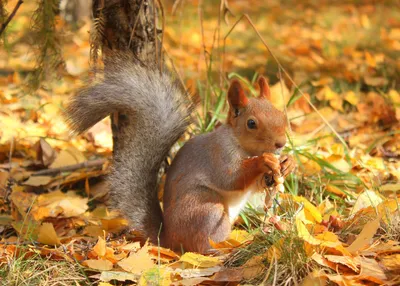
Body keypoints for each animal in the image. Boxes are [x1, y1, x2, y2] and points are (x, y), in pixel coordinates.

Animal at [65, 57, 296, 254]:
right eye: (251, 123)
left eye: (281, 115)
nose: (281, 143)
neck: (243, 147)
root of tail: (169, 240)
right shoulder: (218, 155)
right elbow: (231, 179)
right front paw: (264, 161)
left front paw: (287, 163)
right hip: (207, 210)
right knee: (202, 247)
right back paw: (230, 248)